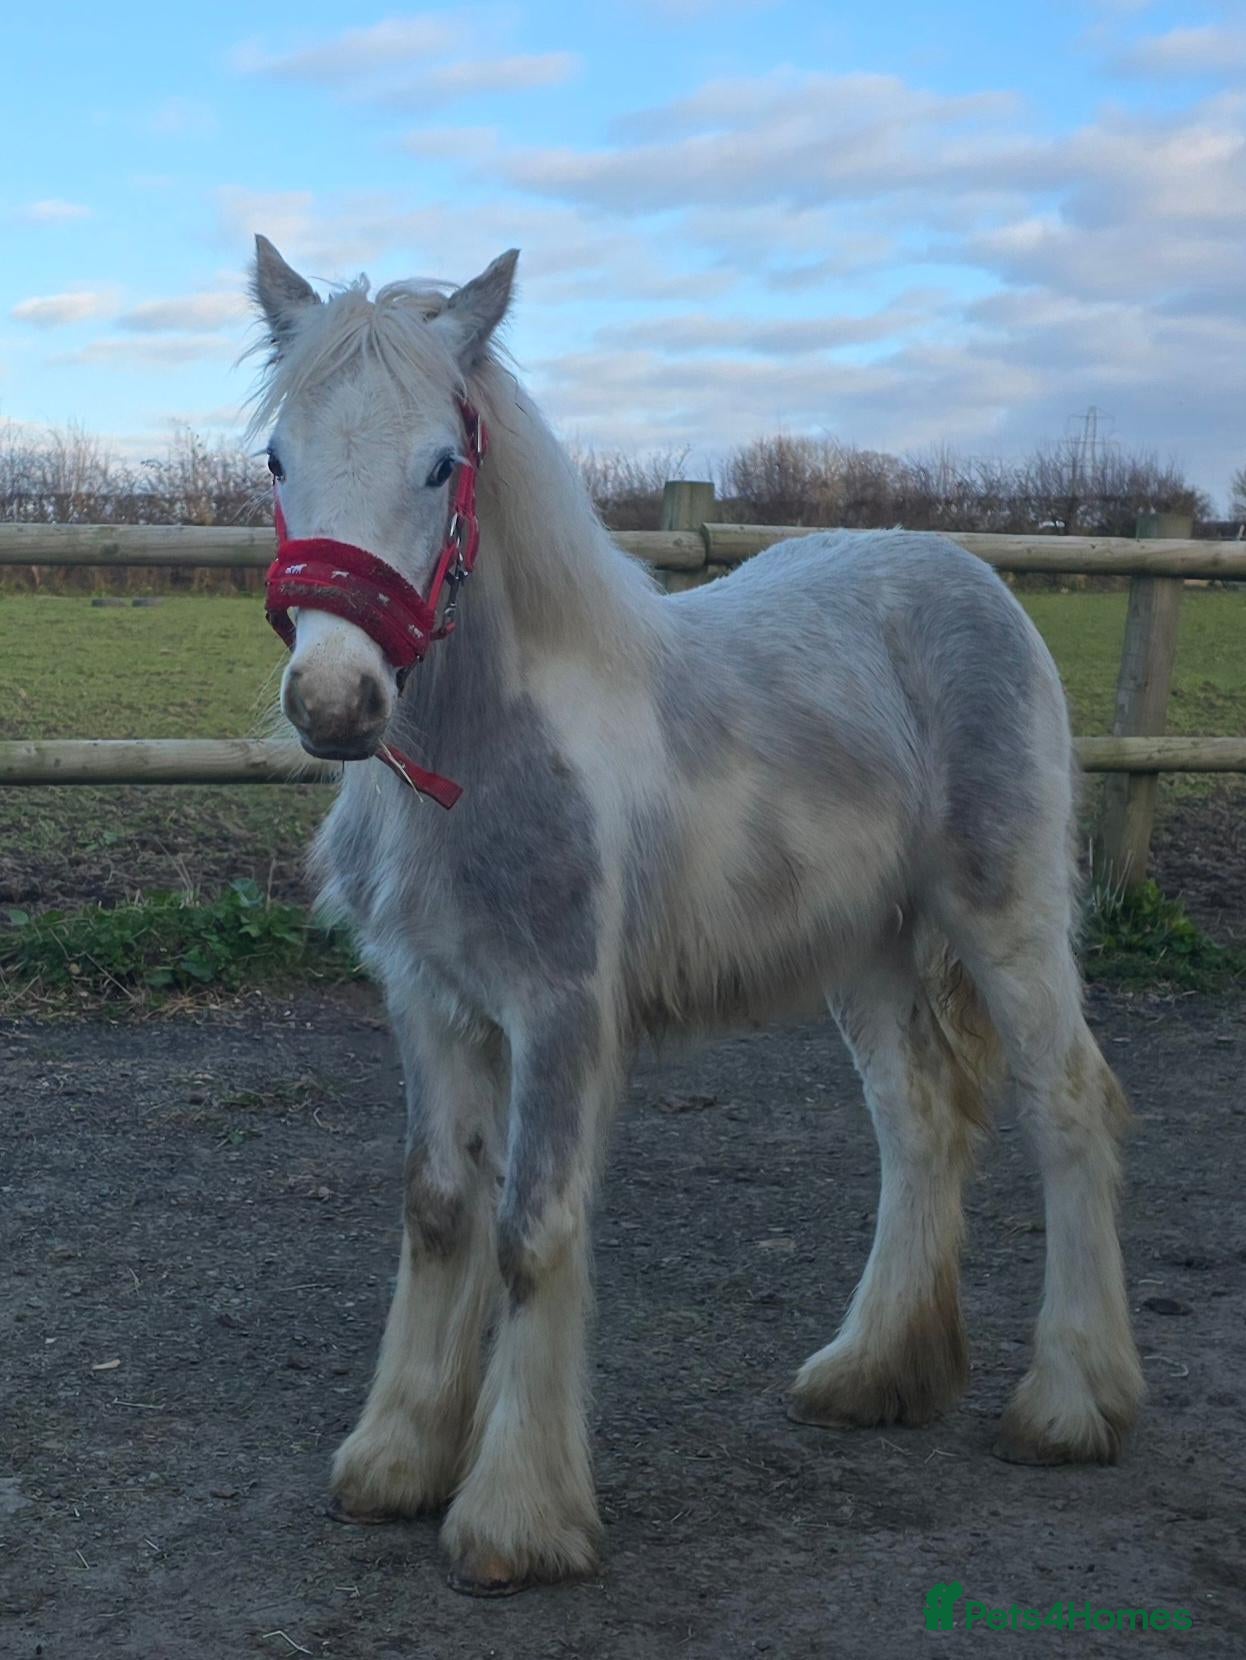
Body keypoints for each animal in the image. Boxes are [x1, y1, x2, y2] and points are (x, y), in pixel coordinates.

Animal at [247, 235, 1142, 1597]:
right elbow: (440, 1209)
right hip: (872, 951)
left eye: (440, 463)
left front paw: (514, 1517)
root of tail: (967, 574)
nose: (335, 701)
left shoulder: (562, 1010)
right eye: (278, 459)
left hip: (1008, 917)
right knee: (921, 1121)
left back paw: (1071, 1404)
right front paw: (396, 1458)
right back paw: (874, 1373)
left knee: (1069, 1104)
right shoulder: (435, 1005)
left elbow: (530, 1229)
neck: (490, 749)